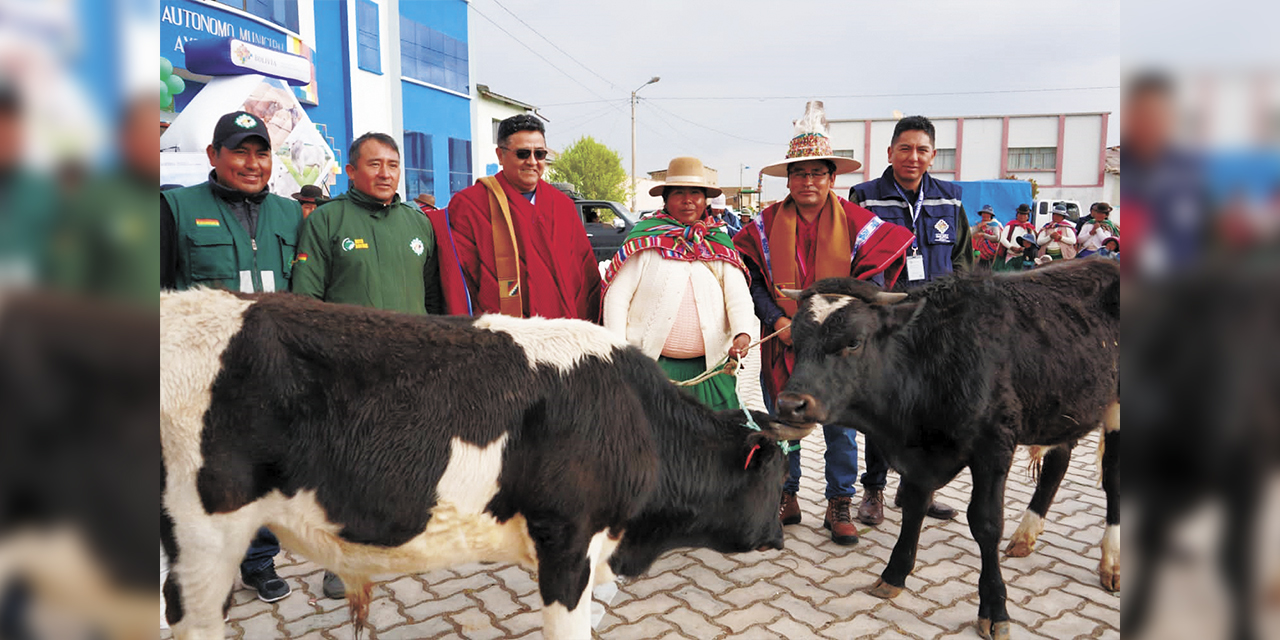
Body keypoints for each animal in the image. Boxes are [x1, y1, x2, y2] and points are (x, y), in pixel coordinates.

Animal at [773, 258, 1116, 640]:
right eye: (794, 341)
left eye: (854, 342)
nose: (790, 404)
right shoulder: (918, 458)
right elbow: (913, 508)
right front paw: (894, 575)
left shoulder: (993, 446)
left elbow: (986, 523)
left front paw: (995, 608)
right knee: (1059, 461)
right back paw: (1026, 535)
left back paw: (1110, 563)